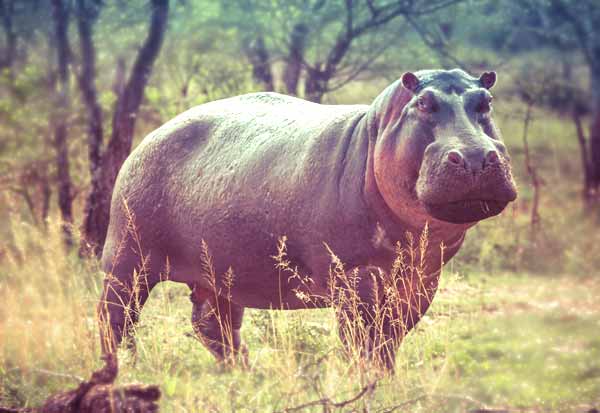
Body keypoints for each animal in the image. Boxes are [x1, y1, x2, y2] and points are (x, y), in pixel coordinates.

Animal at [98, 69, 516, 368]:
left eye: (487, 102)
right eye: (425, 103)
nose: (475, 156)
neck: (375, 132)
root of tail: (154, 133)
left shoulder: (419, 282)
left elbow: (388, 345)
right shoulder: (356, 279)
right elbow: (362, 345)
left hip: (218, 274)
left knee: (214, 327)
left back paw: (246, 374)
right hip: (127, 258)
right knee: (114, 319)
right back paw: (121, 372)